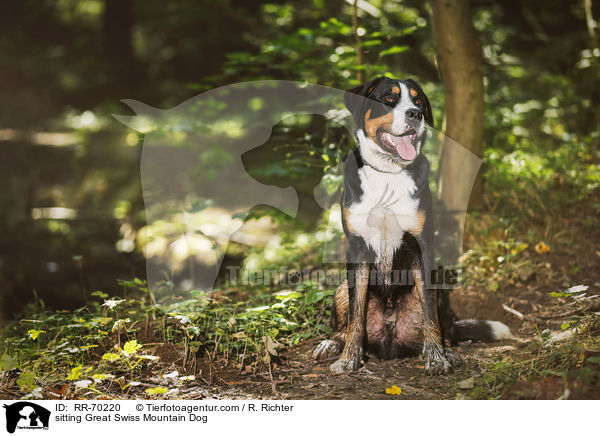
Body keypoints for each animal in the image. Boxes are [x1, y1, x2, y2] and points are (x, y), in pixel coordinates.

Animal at [314, 76, 510, 374]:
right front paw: (349, 358)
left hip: (442, 288)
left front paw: (436, 357)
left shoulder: (422, 246)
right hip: (339, 289)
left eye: (418, 101)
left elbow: (430, 313)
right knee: (345, 322)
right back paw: (331, 343)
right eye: (388, 98)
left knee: (445, 326)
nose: (415, 114)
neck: (389, 173)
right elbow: (356, 316)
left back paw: (449, 351)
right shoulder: (357, 249)